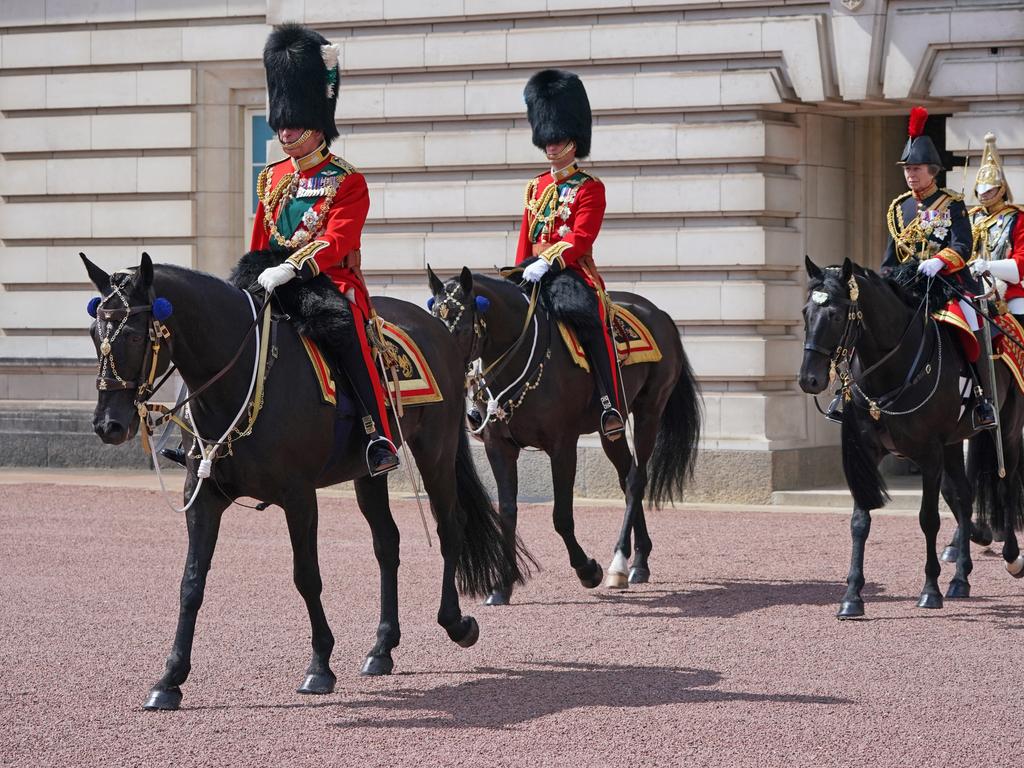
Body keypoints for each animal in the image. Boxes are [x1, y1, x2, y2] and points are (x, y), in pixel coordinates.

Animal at [80, 256, 532, 712]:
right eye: (95, 333)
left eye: (134, 334)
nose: (108, 425)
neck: (241, 379)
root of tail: (435, 326)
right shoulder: (203, 497)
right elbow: (191, 583)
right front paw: (170, 678)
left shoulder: (298, 497)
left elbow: (306, 577)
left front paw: (319, 666)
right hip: (368, 472)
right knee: (387, 543)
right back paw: (382, 648)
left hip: (434, 450)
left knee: (449, 528)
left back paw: (455, 623)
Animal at [425, 268, 704, 606]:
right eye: (432, 321)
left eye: (463, 328)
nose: (444, 373)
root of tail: (659, 312)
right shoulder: (499, 447)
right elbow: (507, 512)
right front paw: (501, 586)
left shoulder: (562, 446)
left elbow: (561, 516)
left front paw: (587, 570)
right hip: (610, 431)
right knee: (626, 478)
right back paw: (639, 562)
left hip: (649, 412)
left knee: (637, 480)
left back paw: (618, 564)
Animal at [798, 259, 1024, 618]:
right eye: (807, 312)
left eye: (834, 314)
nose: (809, 379)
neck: (889, 369)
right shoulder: (869, 452)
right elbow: (859, 521)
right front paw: (852, 596)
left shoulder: (929, 455)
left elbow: (928, 519)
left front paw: (930, 590)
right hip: (953, 443)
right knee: (963, 496)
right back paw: (960, 578)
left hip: (1009, 430)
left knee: (1007, 483)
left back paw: (1012, 557)